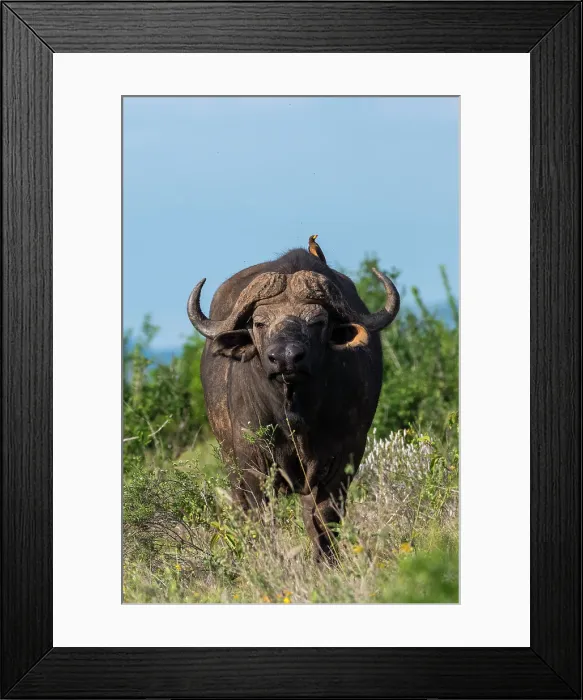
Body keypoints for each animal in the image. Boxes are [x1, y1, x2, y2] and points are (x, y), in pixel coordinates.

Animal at [187, 241, 399, 559]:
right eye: (259, 323)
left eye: (318, 321)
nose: (286, 358)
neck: (293, 412)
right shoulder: (252, 461)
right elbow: (260, 516)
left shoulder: (343, 457)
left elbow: (324, 517)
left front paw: (326, 561)